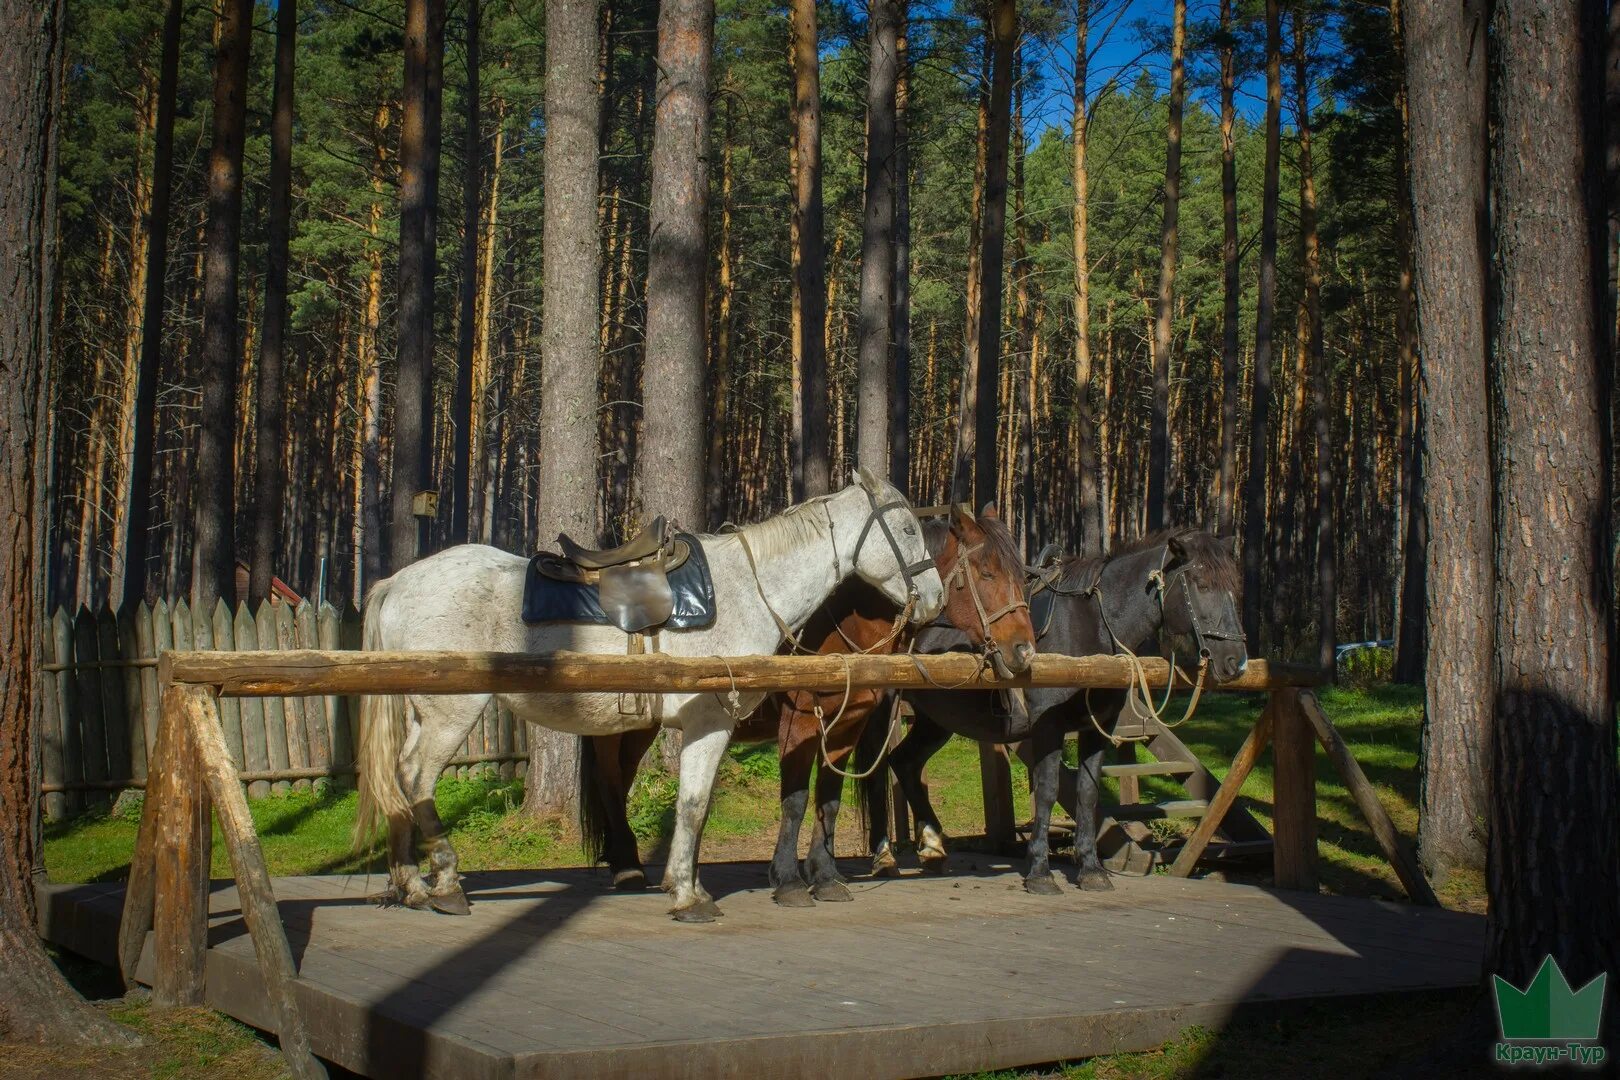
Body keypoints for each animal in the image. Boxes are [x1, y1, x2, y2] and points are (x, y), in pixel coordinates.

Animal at [354, 469, 939, 926]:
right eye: (908, 528)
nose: (934, 598)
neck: (745, 590)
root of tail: (397, 582)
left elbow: (704, 805)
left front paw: (687, 886)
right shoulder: (712, 722)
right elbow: (696, 805)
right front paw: (689, 896)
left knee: (399, 776)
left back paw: (412, 886)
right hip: (451, 712)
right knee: (416, 778)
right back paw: (447, 884)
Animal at [583, 508, 1036, 906]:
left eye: (1021, 576)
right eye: (987, 573)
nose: (1024, 650)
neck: (839, 626)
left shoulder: (848, 723)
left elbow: (829, 798)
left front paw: (825, 874)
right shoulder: (798, 723)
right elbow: (796, 799)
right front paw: (787, 879)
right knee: (610, 780)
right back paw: (626, 866)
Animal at [861, 531, 1250, 893]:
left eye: (1234, 588)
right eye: (1201, 584)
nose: (1235, 662)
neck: (1090, 628)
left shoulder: (1097, 728)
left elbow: (1088, 794)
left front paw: (1091, 869)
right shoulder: (1048, 727)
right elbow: (1048, 790)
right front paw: (1040, 872)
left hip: (936, 720)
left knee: (905, 762)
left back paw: (933, 848)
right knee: (875, 772)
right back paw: (885, 858)